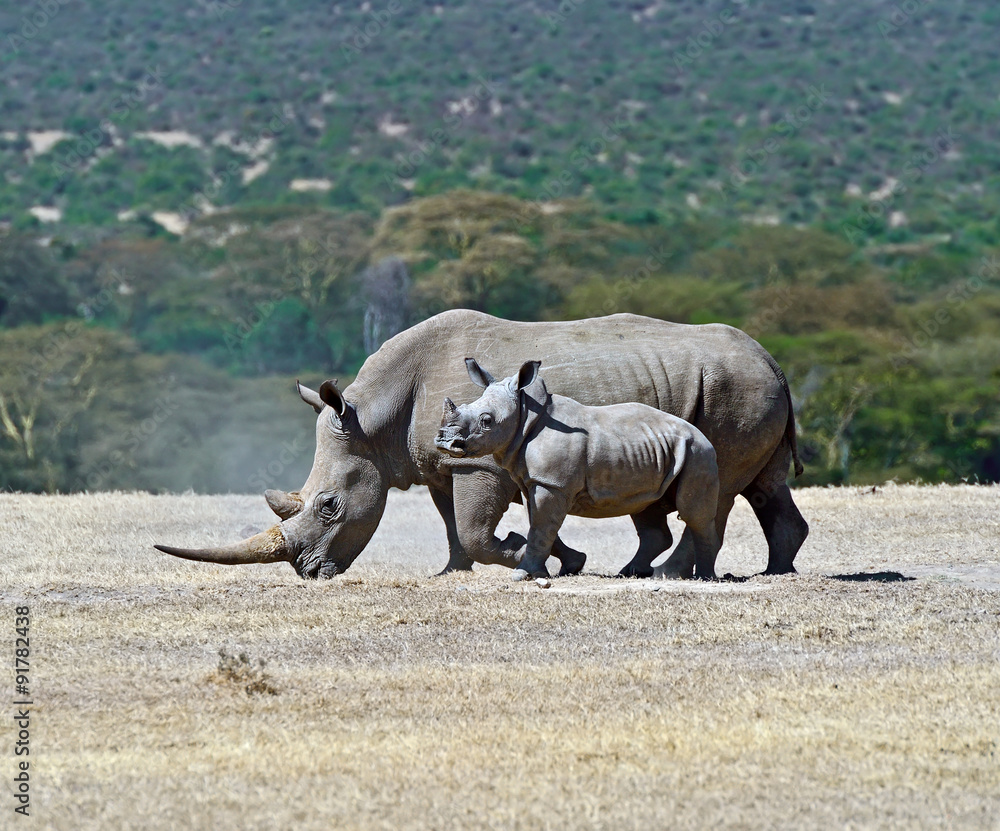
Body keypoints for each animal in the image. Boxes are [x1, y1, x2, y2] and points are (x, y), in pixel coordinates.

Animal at [436, 359, 722, 580]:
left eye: (487, 421)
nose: (444, 442)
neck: (525, 415)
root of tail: (702, 435)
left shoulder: (552, 483)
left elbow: (541, 527)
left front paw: (522, 574)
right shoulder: (535, 481)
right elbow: (539, 524)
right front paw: (540, 571)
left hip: (698, 452)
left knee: (693, 512)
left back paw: (704, 578)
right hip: (662, 451)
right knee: (647, 505)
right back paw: (631, 573)